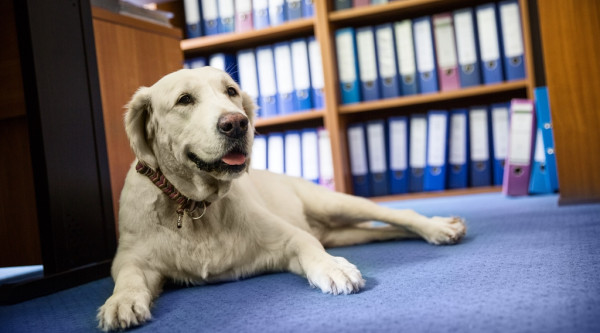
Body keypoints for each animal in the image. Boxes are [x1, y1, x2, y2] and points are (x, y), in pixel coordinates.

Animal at [96, 67, 466, 330]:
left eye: (231, 91)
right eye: (185, 100)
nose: (237, 123)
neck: (196, 207)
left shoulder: (288, 238)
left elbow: (309, 248)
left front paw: (333, 268)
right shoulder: (131, 256)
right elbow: (128, 275)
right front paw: (121, 301)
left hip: (333, 203)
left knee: (399, 215)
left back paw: (439, 227)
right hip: (345, 233)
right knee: (379, 231)